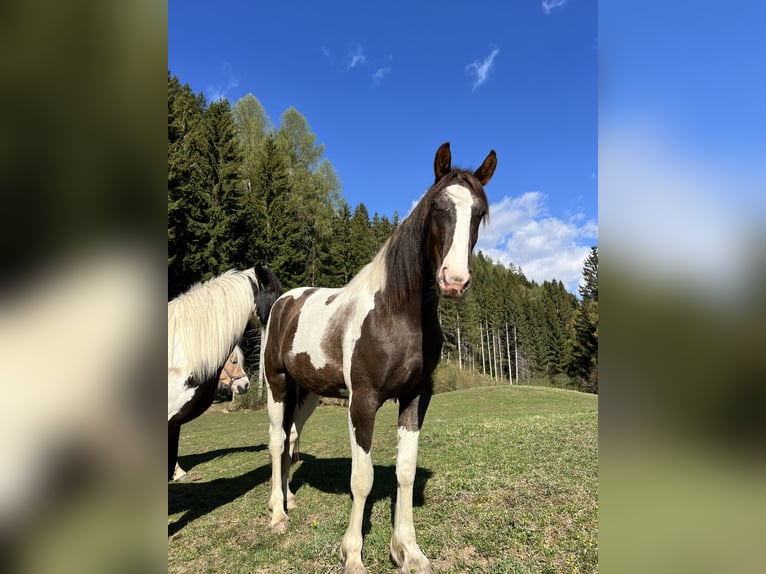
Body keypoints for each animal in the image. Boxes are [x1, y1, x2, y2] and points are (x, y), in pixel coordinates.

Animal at [263, 142, 496, 574]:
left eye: (480, 212)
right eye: (436, 206)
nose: (454, 281)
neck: (394, 314)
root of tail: (284, 301)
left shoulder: (416, 398)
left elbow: (405, 472)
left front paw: (408, 551)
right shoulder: (363, 403)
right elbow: (363, 478)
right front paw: (353, 554)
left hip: (309, 394)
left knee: (291, 439)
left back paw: (289, 500)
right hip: (277, 384)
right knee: (275, 441)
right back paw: (277, 514)